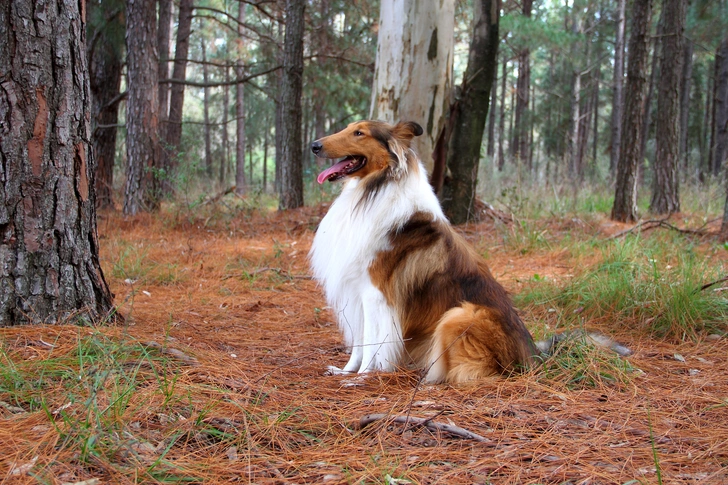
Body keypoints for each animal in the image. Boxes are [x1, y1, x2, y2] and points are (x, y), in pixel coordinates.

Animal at [308, 120, 624, 382]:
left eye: (359, 132)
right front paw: (347, 371)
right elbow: (360, 343)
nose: (314, 145)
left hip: (459, 314)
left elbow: (373, 342)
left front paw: (362, 377)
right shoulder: (358, 293)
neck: (374, 188)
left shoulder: (377, 295)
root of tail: (533, 356)